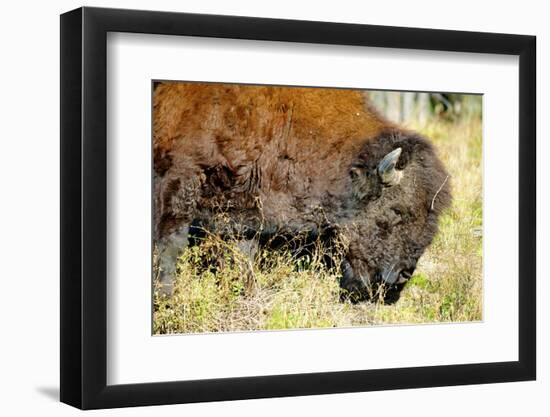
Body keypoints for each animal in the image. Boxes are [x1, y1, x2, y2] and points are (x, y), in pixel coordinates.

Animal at [153, 81, 450, 302]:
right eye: (397, 211)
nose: (402, 275)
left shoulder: (243, 207)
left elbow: (244, 254)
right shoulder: (178, 181)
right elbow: (170, 244)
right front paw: (166, 296)